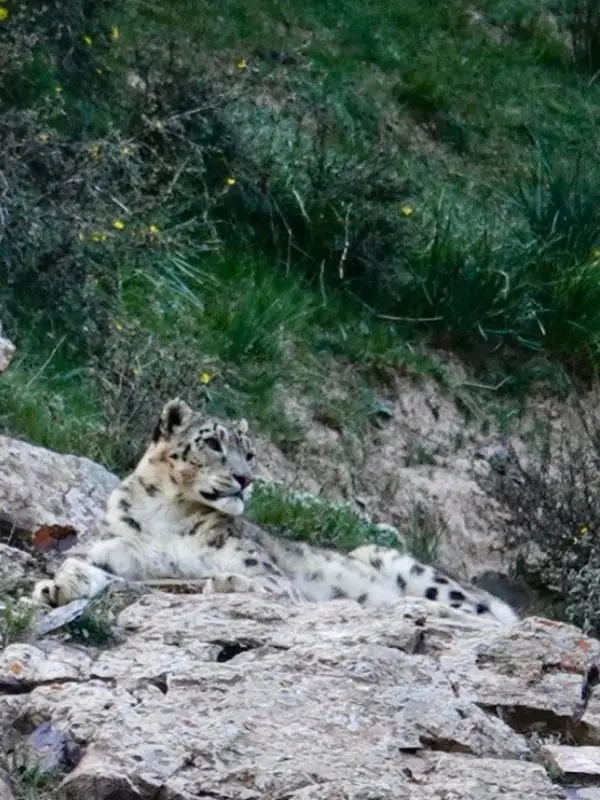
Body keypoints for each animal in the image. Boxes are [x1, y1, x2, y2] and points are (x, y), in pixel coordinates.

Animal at [32, 397, 519, 626]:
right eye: (213, 443)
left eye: (250, 452)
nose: (246, 479)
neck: (166, 513)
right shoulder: (126, 550)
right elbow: (93, 563)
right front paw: (58, 584)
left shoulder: (264, 571)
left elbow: (265, 584)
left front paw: (225, 582)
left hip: (406, 566)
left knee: (486, 616)